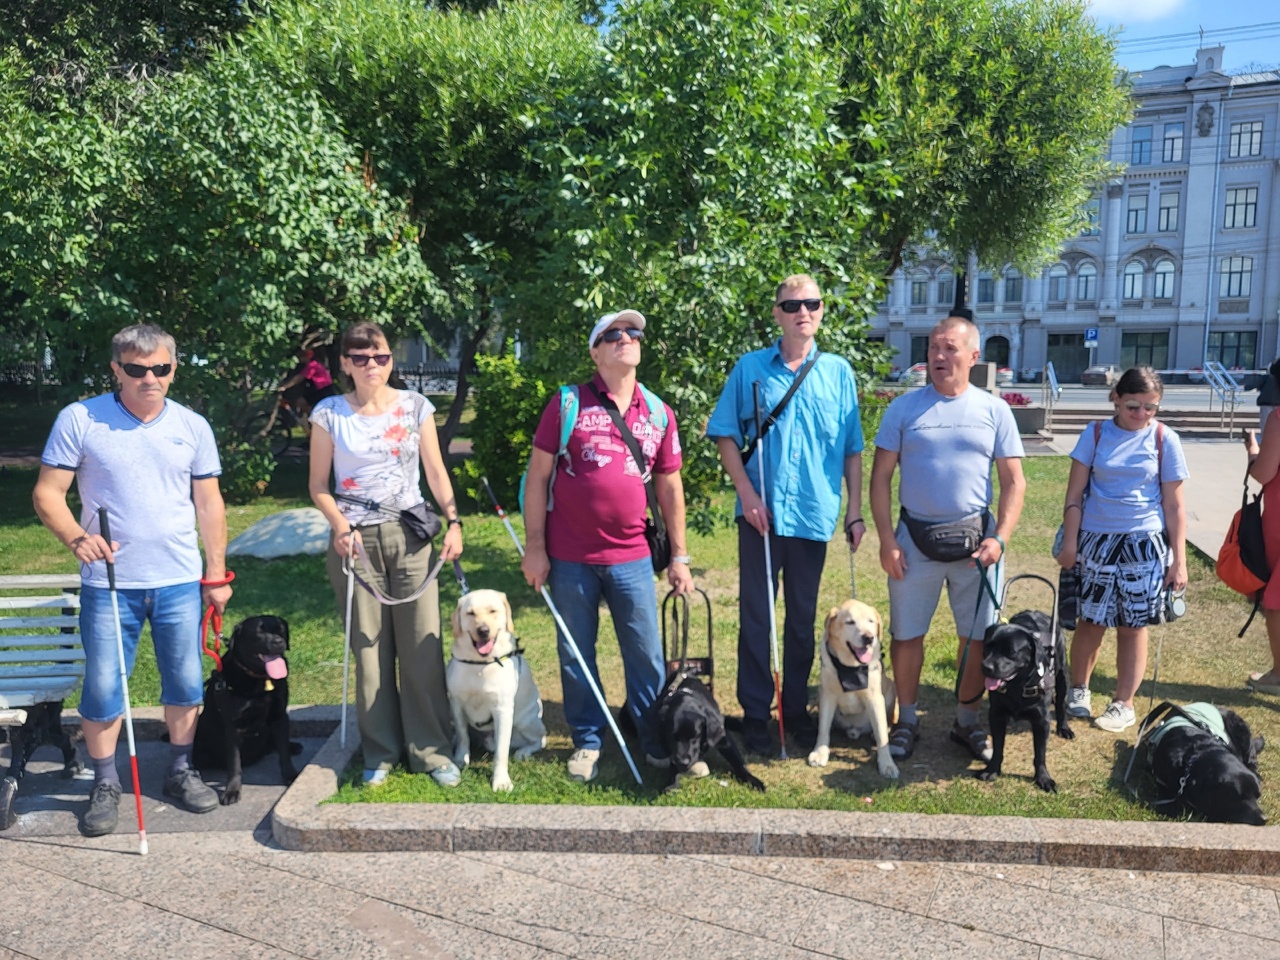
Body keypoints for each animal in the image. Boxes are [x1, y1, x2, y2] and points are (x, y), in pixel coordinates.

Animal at [192, 616, 299, 803]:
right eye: (259, 632)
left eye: (280, 630)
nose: (280, 642)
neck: (260, 678)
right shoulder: (233, 725)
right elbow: (234, 762)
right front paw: (232, 790)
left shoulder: (279, 715)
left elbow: (284, 752)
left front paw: (290, 775)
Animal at [655, 670, 762, 798]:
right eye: (672, 737)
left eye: (695, 737)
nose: (683, 762)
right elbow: (672, 762)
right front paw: (672, 783)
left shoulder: (722, 737)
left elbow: (738, 761)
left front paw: (753, 780)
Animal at [977, 611, 1070, 793]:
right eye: (988, 647)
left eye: (1010, 652)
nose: (986, 667)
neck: (1017, 687)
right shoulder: (996, 715)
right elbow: (998, 746)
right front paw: (992, 770)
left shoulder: (1042, 721)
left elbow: (1040, 754)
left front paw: (1043, 778)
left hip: (1062, 674)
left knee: (1061, 703)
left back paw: (1064, 728)